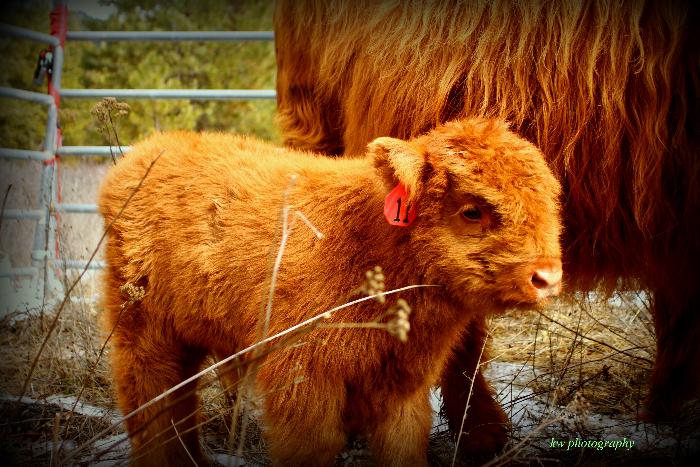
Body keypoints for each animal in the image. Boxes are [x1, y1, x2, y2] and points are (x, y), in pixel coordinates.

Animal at [100, 119, 564, 466]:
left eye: (548, 204)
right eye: (472, 210)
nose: (547, 277)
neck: (367, 239)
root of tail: (151, 150)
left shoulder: (403, 389)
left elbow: (403, 446)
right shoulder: (302, 379)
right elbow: (311, 448)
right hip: (144, 334)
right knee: (151, 402)